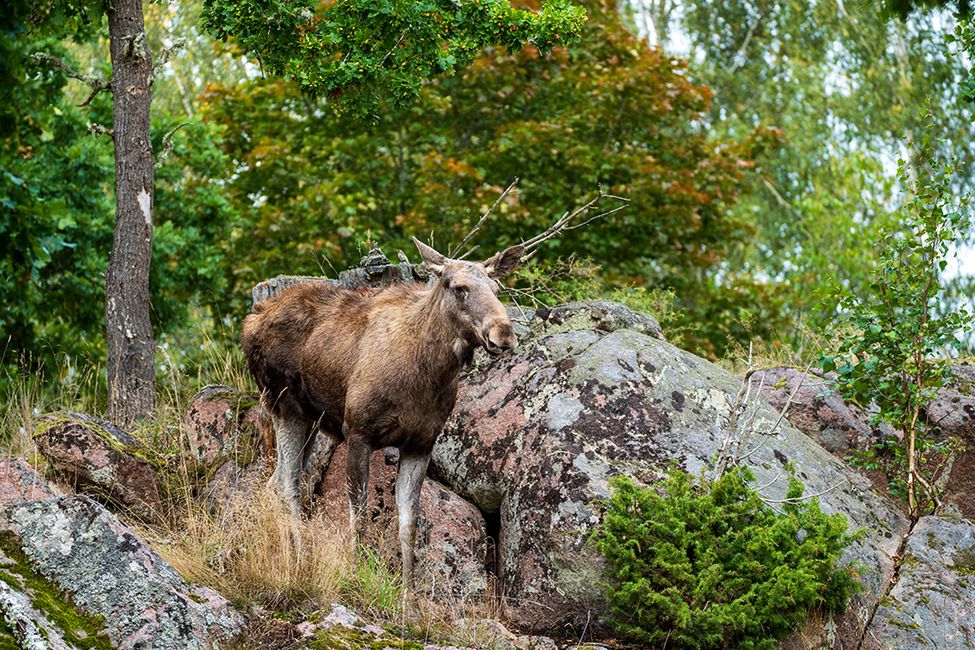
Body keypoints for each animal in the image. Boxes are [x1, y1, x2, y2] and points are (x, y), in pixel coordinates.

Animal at [241, 237, 525, 587]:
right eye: (459, 288)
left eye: (496, 288)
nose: (504, 334)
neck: (427, 376)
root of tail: (250, 322)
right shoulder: (357, 432)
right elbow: (360, 515)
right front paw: (355, 575)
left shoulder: (420, 445)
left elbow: (409, 526)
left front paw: (408, 597)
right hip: (285, 406)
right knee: (288, 486)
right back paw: (299, 562)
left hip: (312, 421)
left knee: (274, 482)